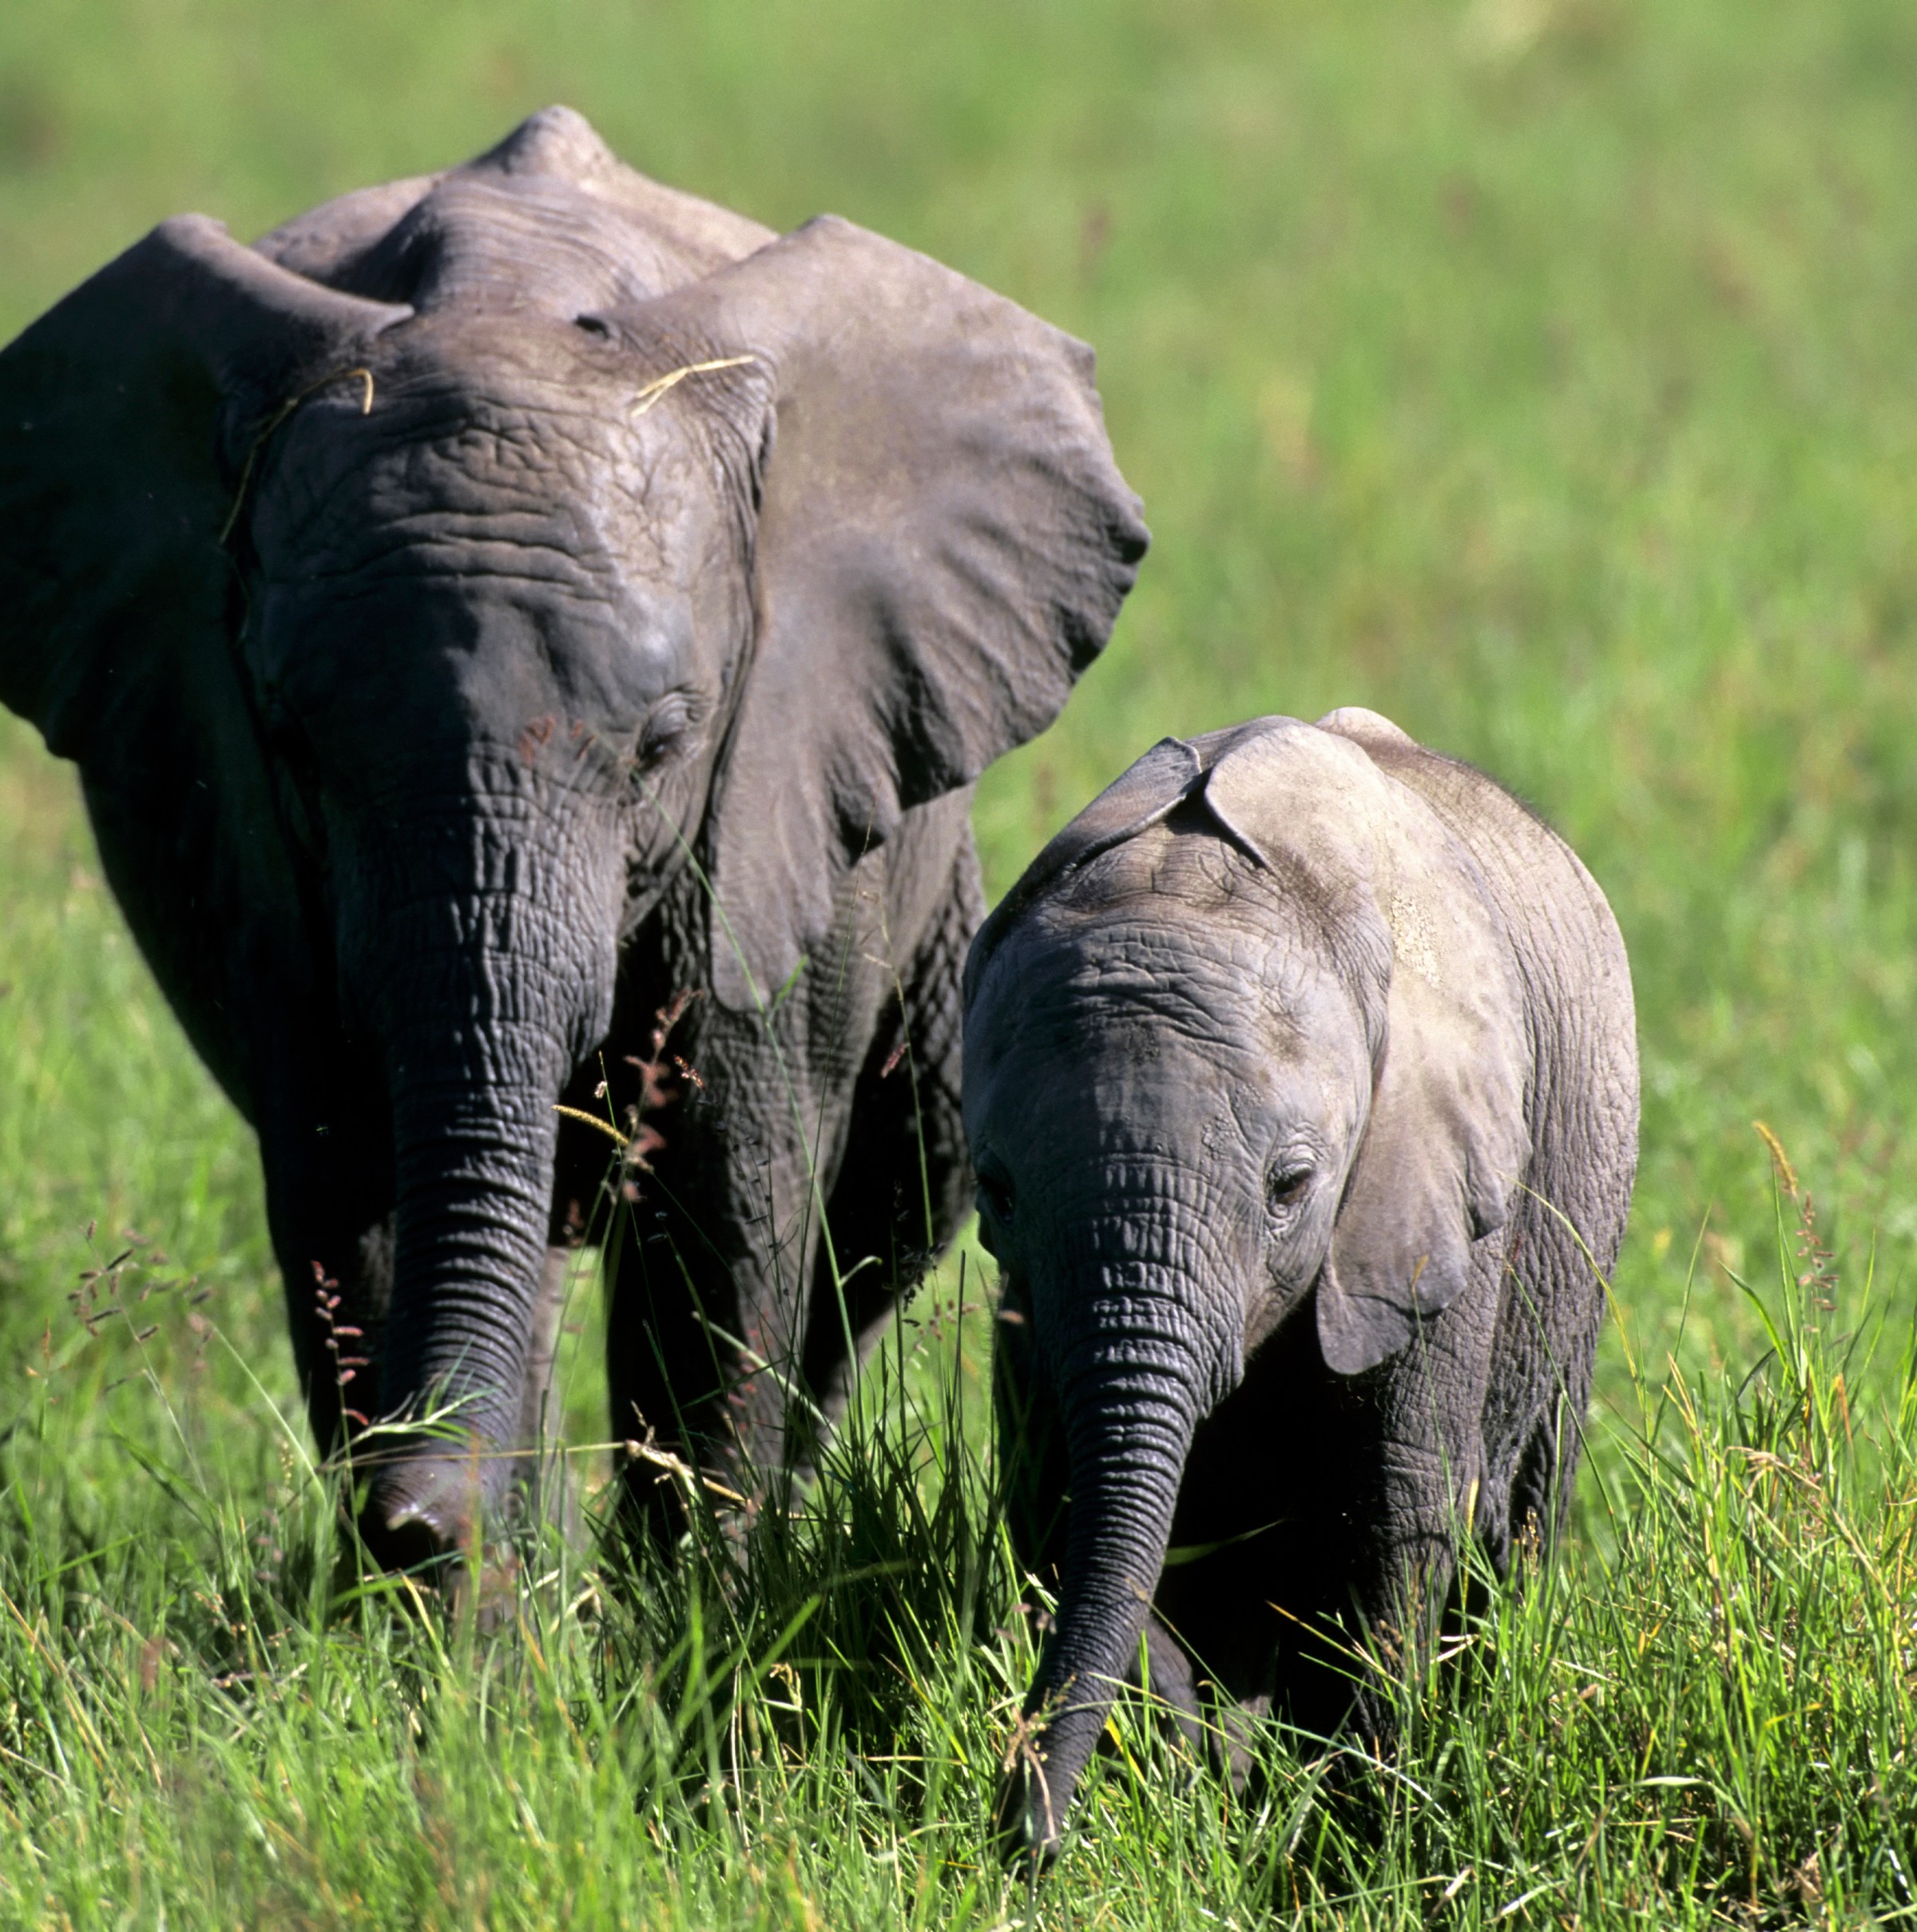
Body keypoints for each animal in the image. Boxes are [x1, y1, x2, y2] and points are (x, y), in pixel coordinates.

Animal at [0, 109, 1144, 1569]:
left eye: (664, 745)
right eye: (296, 745)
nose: (409, 1518)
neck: (511, 291)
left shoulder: (776, 797)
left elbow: (722, 1217)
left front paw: (687, 1609)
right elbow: (357, 1193)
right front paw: (453, 1605)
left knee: (896, 1202)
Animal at [966, 707, 1638, 1855]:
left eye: (1292, 1186)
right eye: (996, 1189)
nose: (1022, 1841)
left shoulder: (1434, 1201)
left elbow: (1397, 1508)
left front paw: (1352, 1834)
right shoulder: (1029, 1301)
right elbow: (1082, 1507)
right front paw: (1203, 1799)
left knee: (1524, 1505)